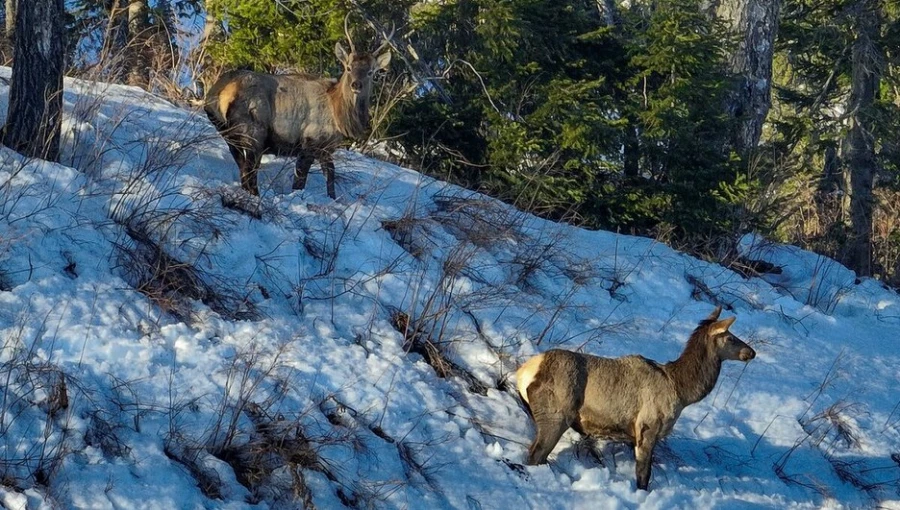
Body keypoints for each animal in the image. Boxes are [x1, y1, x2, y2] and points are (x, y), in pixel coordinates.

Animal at [206, 16, 392, 198]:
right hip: (253, 132)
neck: (339, 116)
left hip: (228, 133)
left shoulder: (325, 148)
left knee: (243, 169)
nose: (356, 85)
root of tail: (219, 93)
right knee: (248, 173)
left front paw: (332, 198)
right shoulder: (309, 141)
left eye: (371, 72)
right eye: (348, 67)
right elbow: (300, 181)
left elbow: (330, 174)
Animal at [512, 304, 752, 492]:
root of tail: (522, 373)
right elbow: (643, 475)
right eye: (730, 337)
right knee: (536, 454)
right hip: (556, 414)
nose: (751, 352)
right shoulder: (648, 427)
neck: (681, 391)